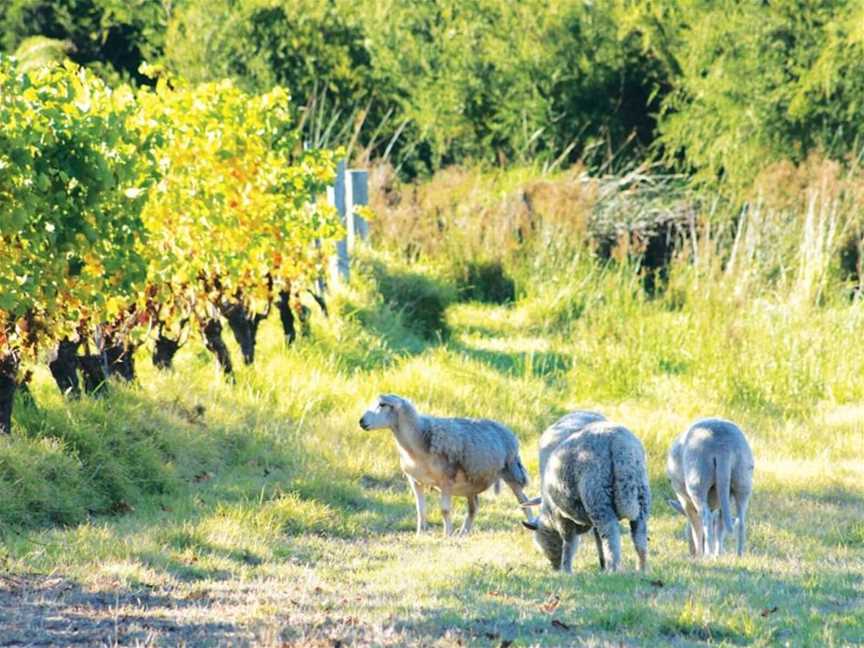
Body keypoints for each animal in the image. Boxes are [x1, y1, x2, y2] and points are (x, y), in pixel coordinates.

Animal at [358, 394, 532, 536]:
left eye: (382, 404)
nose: (361, 421)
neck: (419, 439)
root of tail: (506, 430)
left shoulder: (446, 479)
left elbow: (445, 510)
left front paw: (446, 535)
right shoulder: (414, 480)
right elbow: (420, 510)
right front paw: (420, 535)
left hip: (511, 471)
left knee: (523, 501)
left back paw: (531, 523)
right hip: (472, 481)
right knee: (473, 507)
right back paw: (463, 533)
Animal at [520, 416, 648, 572]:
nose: (554, 568)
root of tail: (618, 444)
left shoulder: (561, 516)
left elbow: (569, 543)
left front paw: (566, 570)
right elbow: (596, 538)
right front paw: (601, 565)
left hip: (597, 495)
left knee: (611, 535)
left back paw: (613, 568)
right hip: (641, 493)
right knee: (639, 534)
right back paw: (641, 568)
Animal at [664, 418, 752, 560]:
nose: (692, 552)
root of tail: (722, 447)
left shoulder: (685, 501)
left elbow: (696, 525)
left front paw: (701, 553)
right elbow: (720, 525)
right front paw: (719, 553)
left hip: (698, 475)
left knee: (706, 517)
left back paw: (706, 555)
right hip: (743, 475)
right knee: (741, 519)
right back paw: (739, 555)